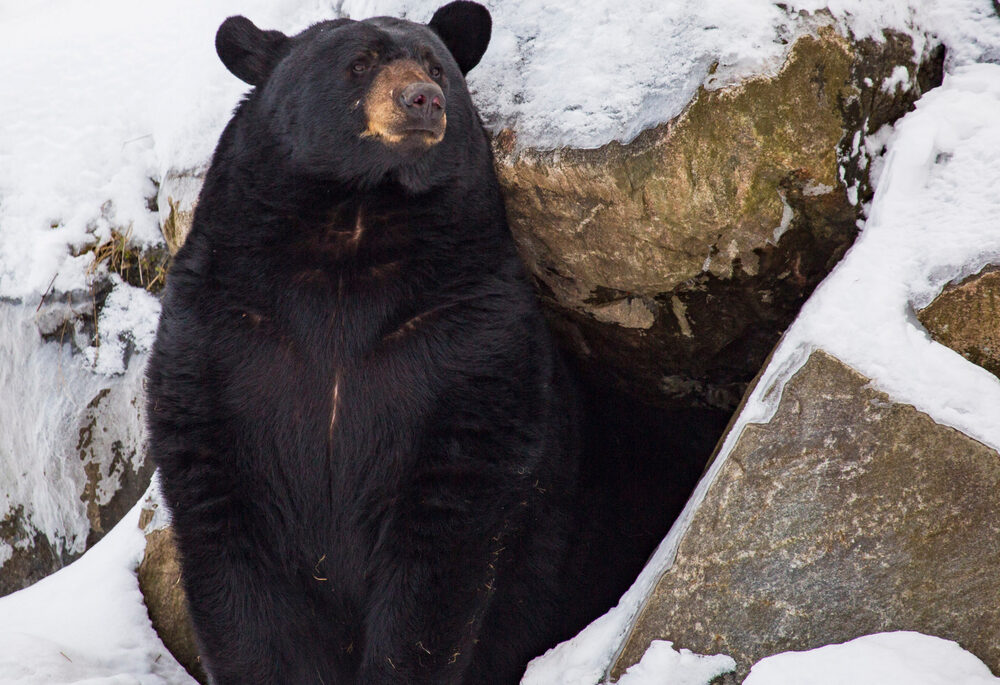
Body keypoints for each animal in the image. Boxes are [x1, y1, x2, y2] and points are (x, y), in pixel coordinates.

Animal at [147, 3, 591, 683]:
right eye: (359, 63)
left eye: (436, 65)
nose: (424, 99)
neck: (352, 227)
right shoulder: (221, 334)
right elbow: (226, 542)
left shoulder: (469, 334)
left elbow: (444, 541)